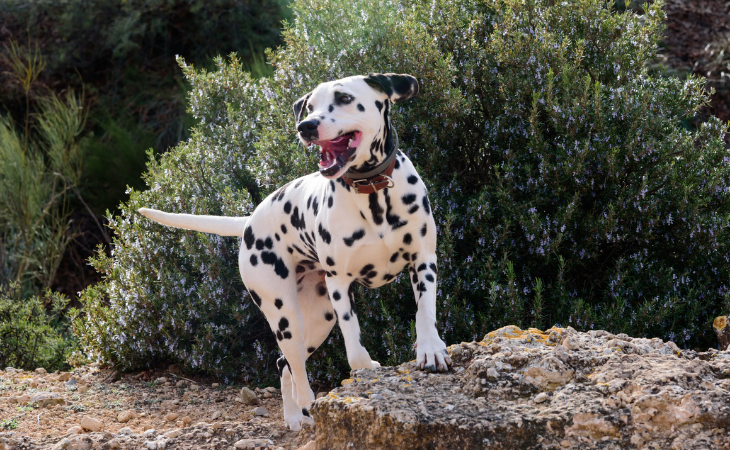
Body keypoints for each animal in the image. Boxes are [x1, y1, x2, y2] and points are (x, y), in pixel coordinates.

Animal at [138, 72, 450, 430]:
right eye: (310, 106)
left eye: (344, 98)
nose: (307, 126)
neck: (372, 193)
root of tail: (249, 221)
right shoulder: (339, 284)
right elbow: (354, 344)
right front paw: (364, 372)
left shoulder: (424, 262)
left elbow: (424, 311)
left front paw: (431, 350)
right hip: (287, 316)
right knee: (296, 370)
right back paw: (305, 409)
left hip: (318, 319)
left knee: (284, 364)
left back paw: (294, 416)